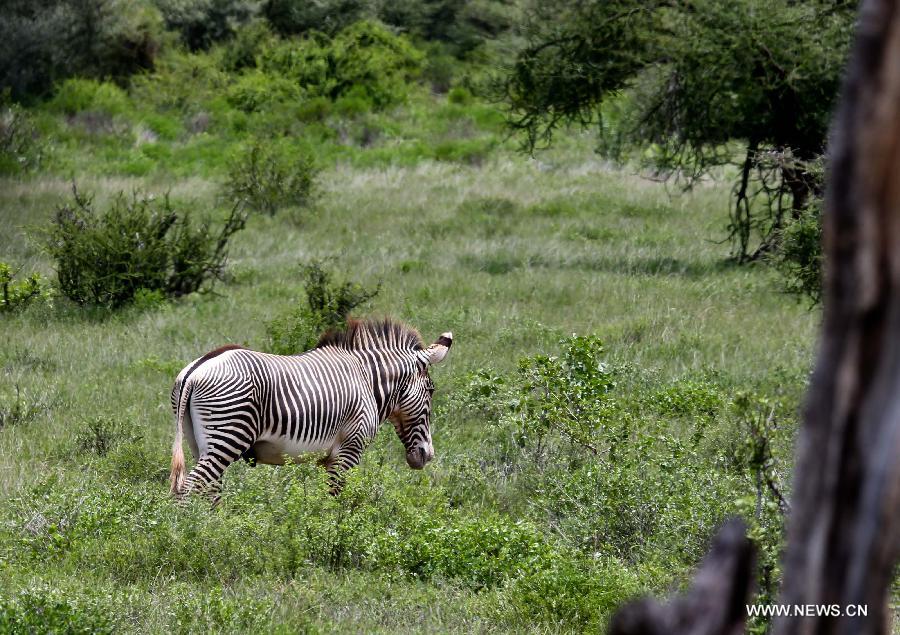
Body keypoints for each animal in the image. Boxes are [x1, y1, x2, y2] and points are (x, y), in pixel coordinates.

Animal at [169, 318, 454, 502]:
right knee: (189, 487)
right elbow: (336, 499)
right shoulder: (349, 449)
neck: (367, 380)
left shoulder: (326, 458)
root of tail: (196, 371)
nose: (427, 455)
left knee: (208, 490)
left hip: (199, 443)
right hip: (227, 436)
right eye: (431, 391)